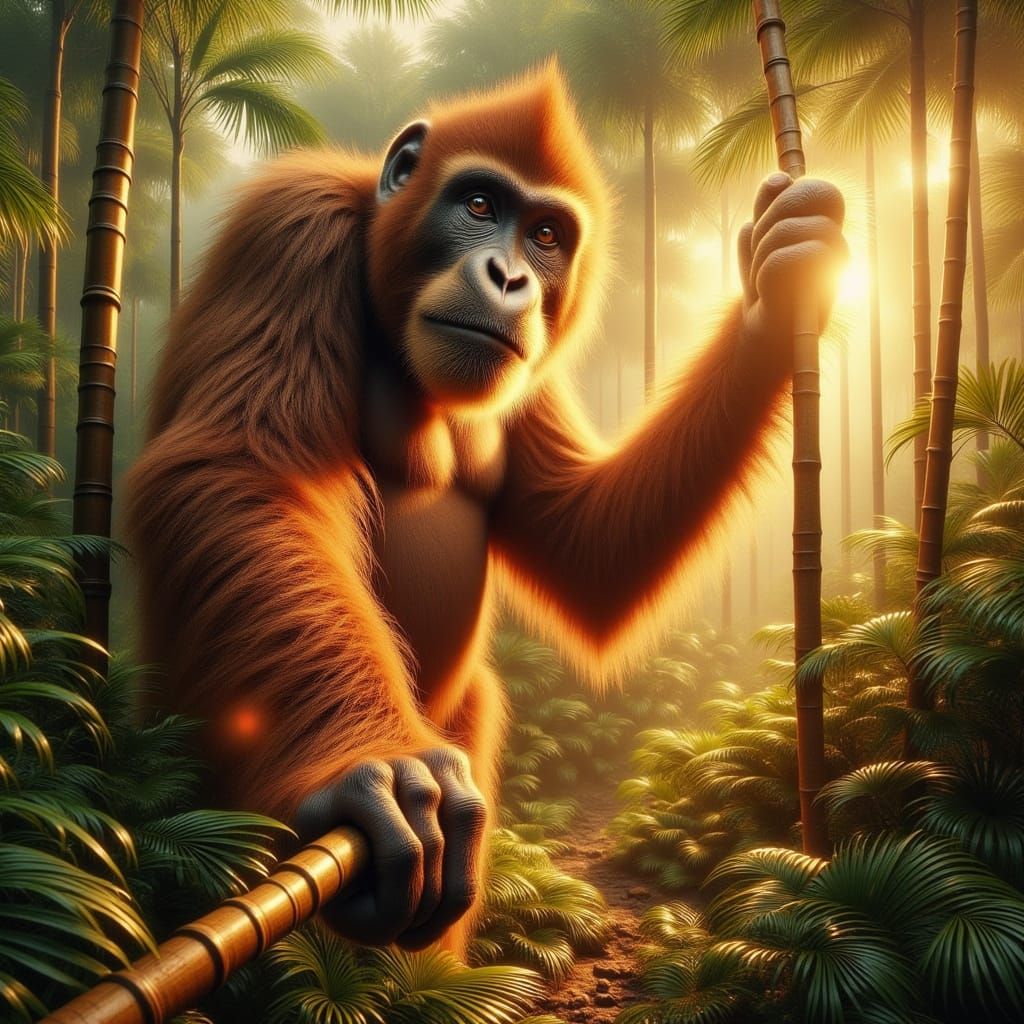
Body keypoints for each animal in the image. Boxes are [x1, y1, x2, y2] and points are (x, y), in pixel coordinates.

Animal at [126, 65, 846, 956]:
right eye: (477, 205)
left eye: (546, 236)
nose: (508, 277)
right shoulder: (290, 228)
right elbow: (247, 470)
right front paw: (372, 767)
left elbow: (588, 547)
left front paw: (781, 281)